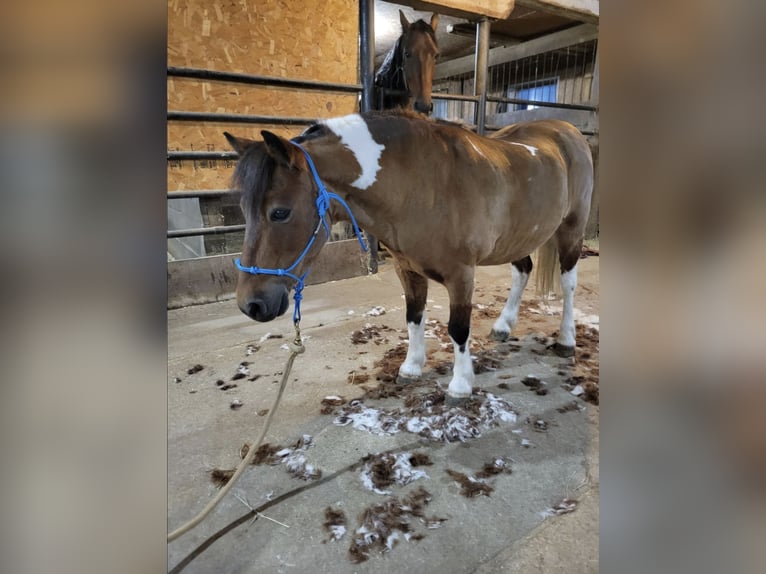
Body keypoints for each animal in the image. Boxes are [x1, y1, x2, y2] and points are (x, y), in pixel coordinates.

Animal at [224, 110, 593, 404]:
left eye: (280, 212)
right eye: (244, 208)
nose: (251, 305)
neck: (423, 184)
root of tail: (566, 129)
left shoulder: (462, 274)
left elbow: (458, 328)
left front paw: (460, 385)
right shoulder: (408, 269)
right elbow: (414, 317)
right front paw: (411, 367)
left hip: (571, 231)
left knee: (569, 283)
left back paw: (566, 340)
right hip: (519, 237)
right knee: (523, 270)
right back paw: (503, 326)